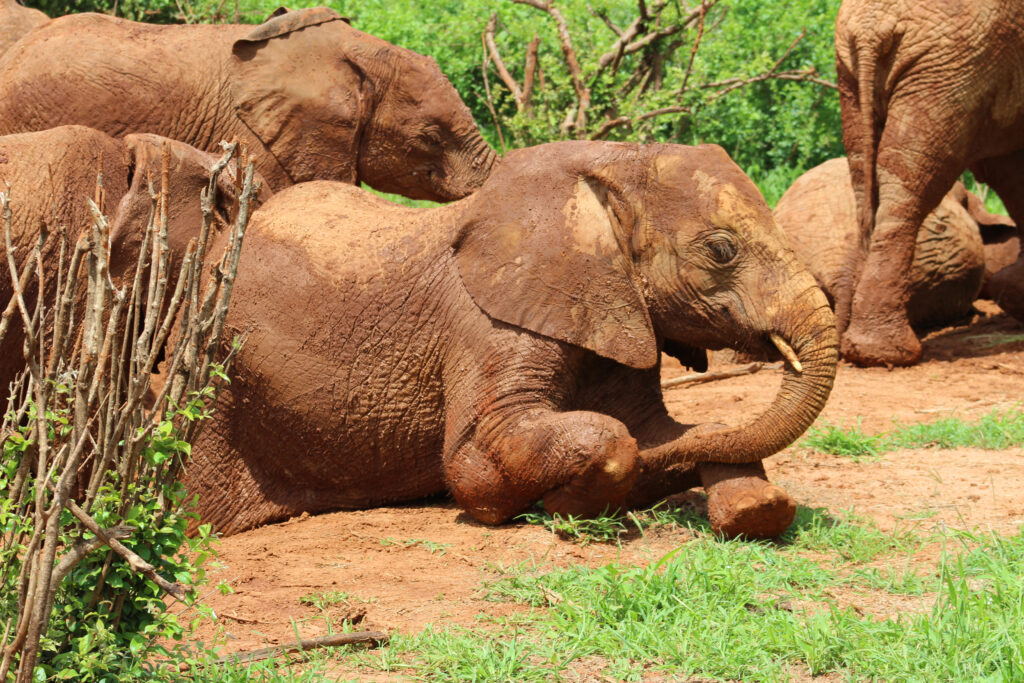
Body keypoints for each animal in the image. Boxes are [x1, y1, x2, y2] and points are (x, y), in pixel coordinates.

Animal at [186, 141, 839, 540]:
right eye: (722, 250)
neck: (604, 169)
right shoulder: (488, 324)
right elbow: (485, 456)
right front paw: (568, 506)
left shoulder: (613, 306)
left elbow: (665, 430)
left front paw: (759, 510)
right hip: (218, 371)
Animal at [835, 0, 1024, 368]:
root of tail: (869, 29)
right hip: (950, 69)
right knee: (909, 181)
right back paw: (884, 353)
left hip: (858, 75)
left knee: (865, 179)